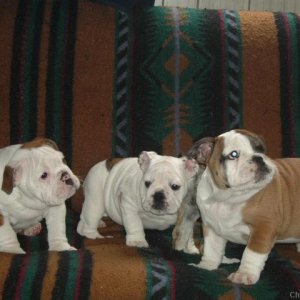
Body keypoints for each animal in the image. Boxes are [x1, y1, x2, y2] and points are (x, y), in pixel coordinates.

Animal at [172, 128, 300, 284]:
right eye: (234, 155)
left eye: (261, 150)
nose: (259, 158)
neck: (227, 197)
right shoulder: (211, 227)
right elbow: (212, 250)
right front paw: (206, 266)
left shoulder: (264, 228)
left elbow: (251, 253)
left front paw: (244, 274)